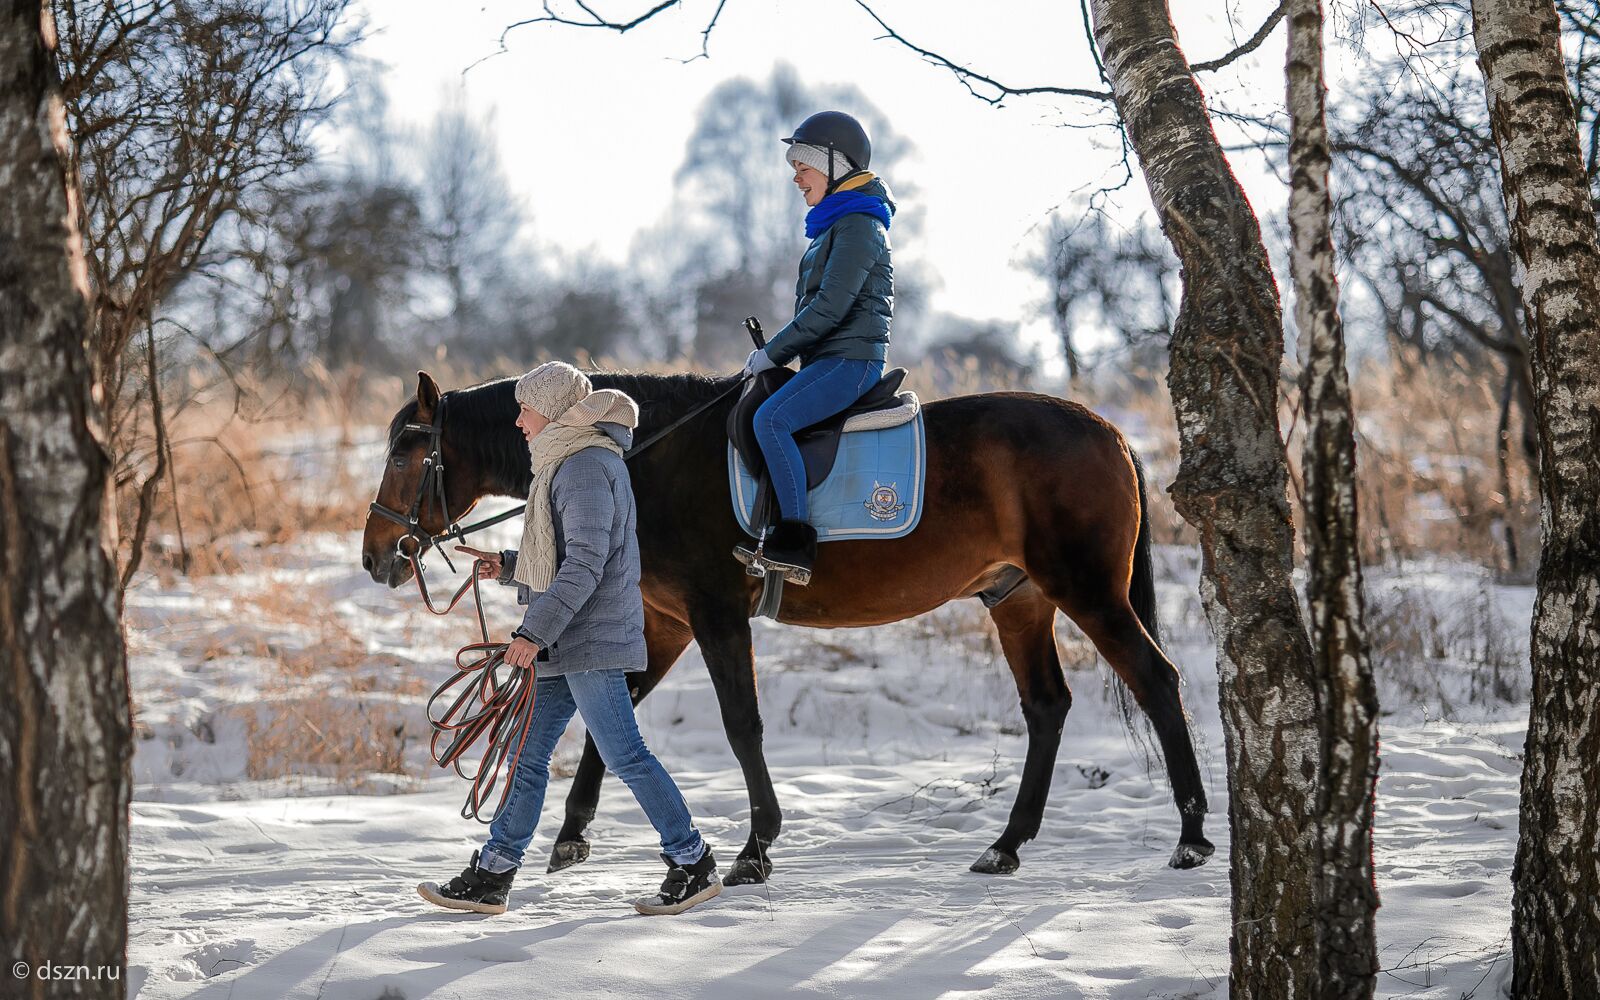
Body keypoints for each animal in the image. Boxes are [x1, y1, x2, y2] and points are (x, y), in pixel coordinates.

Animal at [363, 366, 1209, 883]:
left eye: (407, 449)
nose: (377, 555)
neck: (640, 458)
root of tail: (1106, 429)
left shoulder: (712, 615)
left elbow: (742, 725)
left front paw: (755, 845)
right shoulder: (665, 623)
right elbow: (615, 717)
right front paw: (572, 834)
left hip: (1087, 591)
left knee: (1157, 680)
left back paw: (1192, 836)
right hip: (1019, 599)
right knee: (1046, 708)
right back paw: (1006, 845)